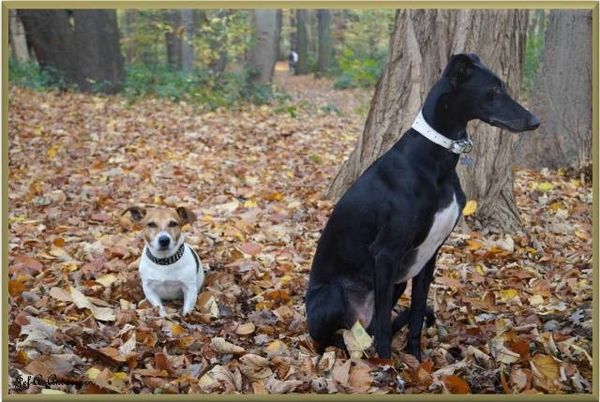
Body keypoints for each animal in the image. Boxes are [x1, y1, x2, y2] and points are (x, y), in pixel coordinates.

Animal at [308, 54, 540, 362]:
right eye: (493, 90)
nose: (535, 122)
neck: (435, 159)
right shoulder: (385, 254)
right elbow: (385, 326)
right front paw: (386, 364)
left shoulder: (429, 256)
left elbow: (417, 314)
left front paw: (416, 361)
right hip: (334, 295)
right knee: (338, 337)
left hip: (397, 283)